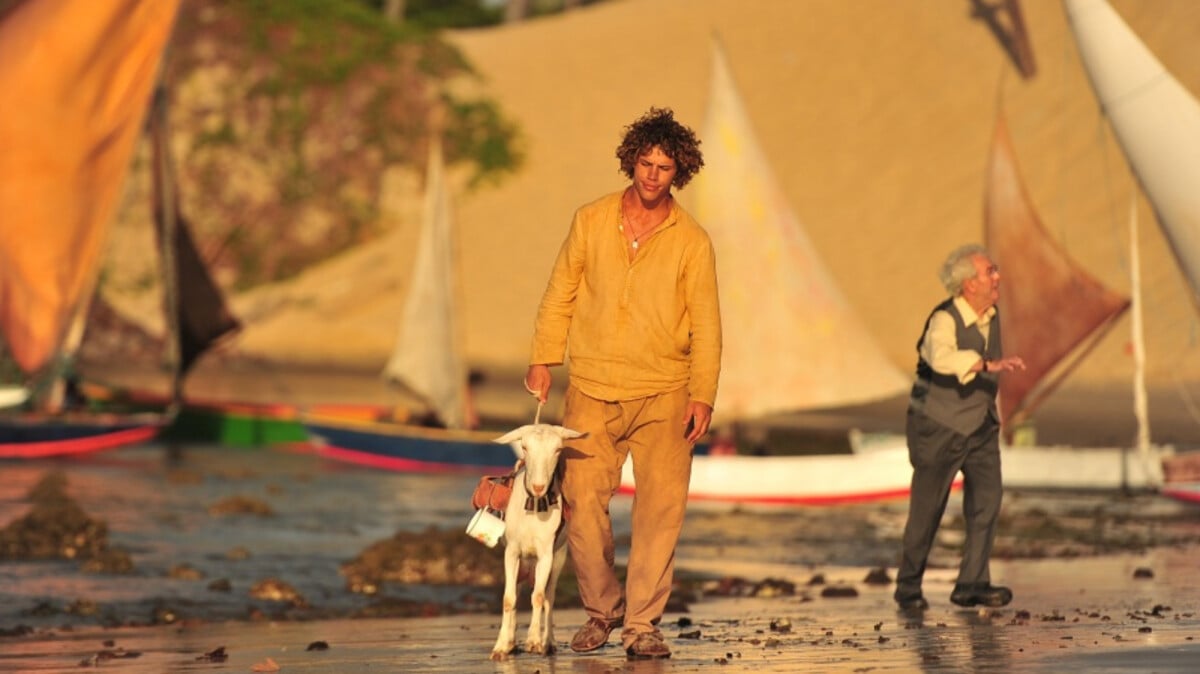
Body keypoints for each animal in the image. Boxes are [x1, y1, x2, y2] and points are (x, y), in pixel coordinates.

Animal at [487, 422, 580, 657]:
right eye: (524, 447)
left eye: (558, 449)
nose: (539, 487)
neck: (534, 505)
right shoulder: (511, 551)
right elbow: (508, 598)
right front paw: (500, 646)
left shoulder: (546, 553)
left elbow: (539, 597)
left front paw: (535, 641)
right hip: (523, 563)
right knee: (518, 590)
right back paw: (511, 642)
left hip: (558, 557)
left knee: (549, 596)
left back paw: (548, 642)